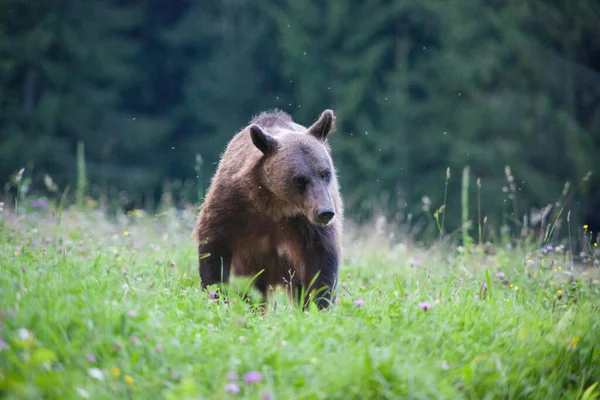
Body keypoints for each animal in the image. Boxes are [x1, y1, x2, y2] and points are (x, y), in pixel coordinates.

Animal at [195, 108, 344, 310]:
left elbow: (322, 262)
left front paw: (318, 305)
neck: (275, 203)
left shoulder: (307, 225)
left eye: (326, 173)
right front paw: (216, 297)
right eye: (300, 179)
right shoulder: (232, 205)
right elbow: (213, 246)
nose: (325, 212)